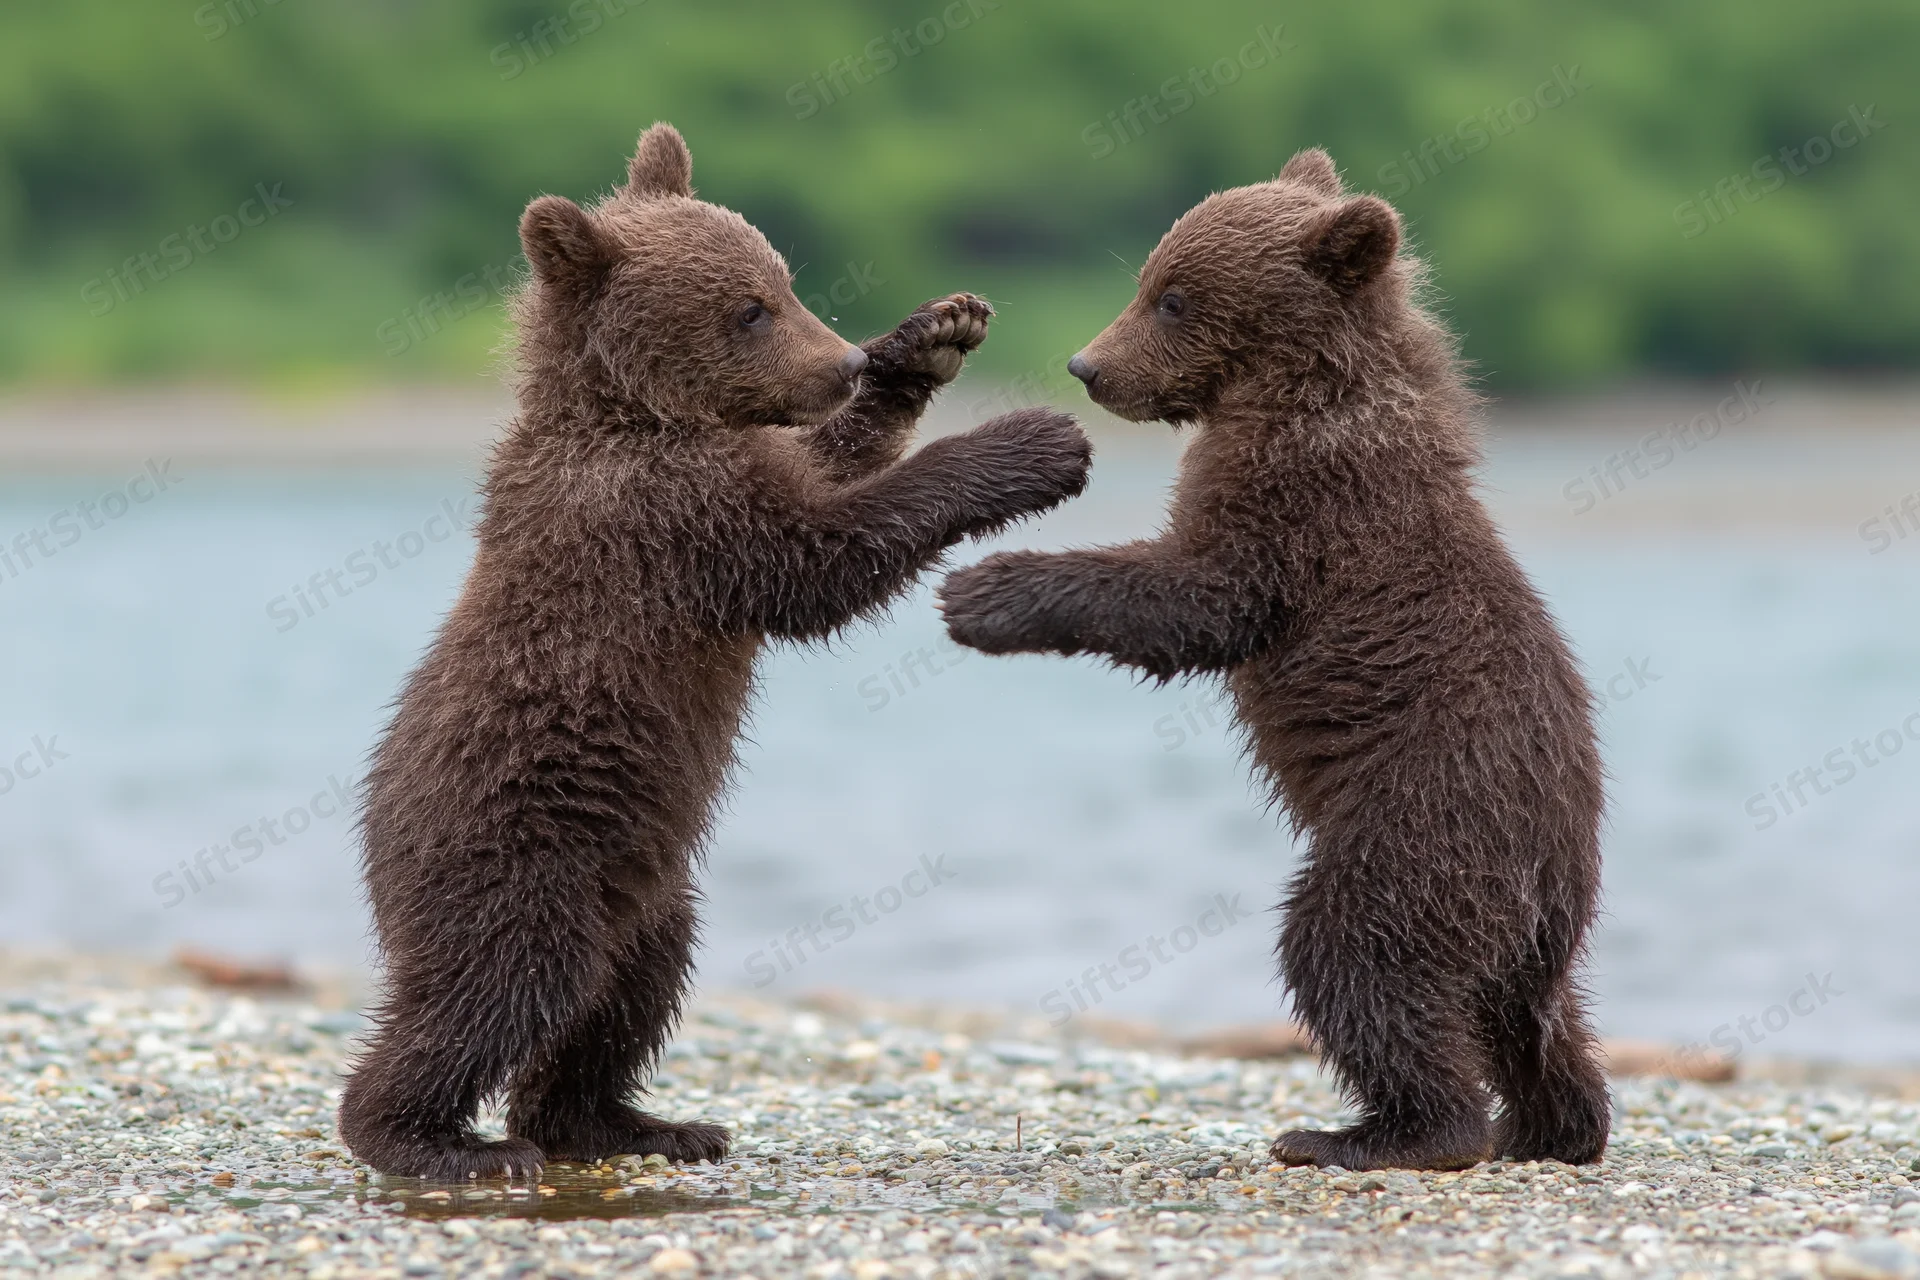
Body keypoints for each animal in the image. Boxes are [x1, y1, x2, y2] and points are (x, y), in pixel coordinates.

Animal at [337, 122, 1092, 1181]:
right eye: (747, 309)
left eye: (784, 282)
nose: (841, 361)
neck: (640, 414)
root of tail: (374, 851)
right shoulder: (667, 515)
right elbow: (822, 561)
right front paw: (1031, 442)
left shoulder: (727, 468)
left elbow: (825, 466)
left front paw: (931, 339)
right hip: (515, 858)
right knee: (497, 991)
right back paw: (434, 1140)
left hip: (651, 894)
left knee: (626, 995)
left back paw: (634, 1123)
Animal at [938, 148, 1610, 1172]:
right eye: (1147, 279)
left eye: (1173, 297)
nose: (1088, 366)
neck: (1298, 389)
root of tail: (1557, 877)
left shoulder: (1300, 508)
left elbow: (1199, 597)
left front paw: (984, 592)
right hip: (1512, 913)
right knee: (1534, 1020)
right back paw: (1551, 1127)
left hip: (1422, 832)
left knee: (1354, 957)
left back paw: (1373, 1133)